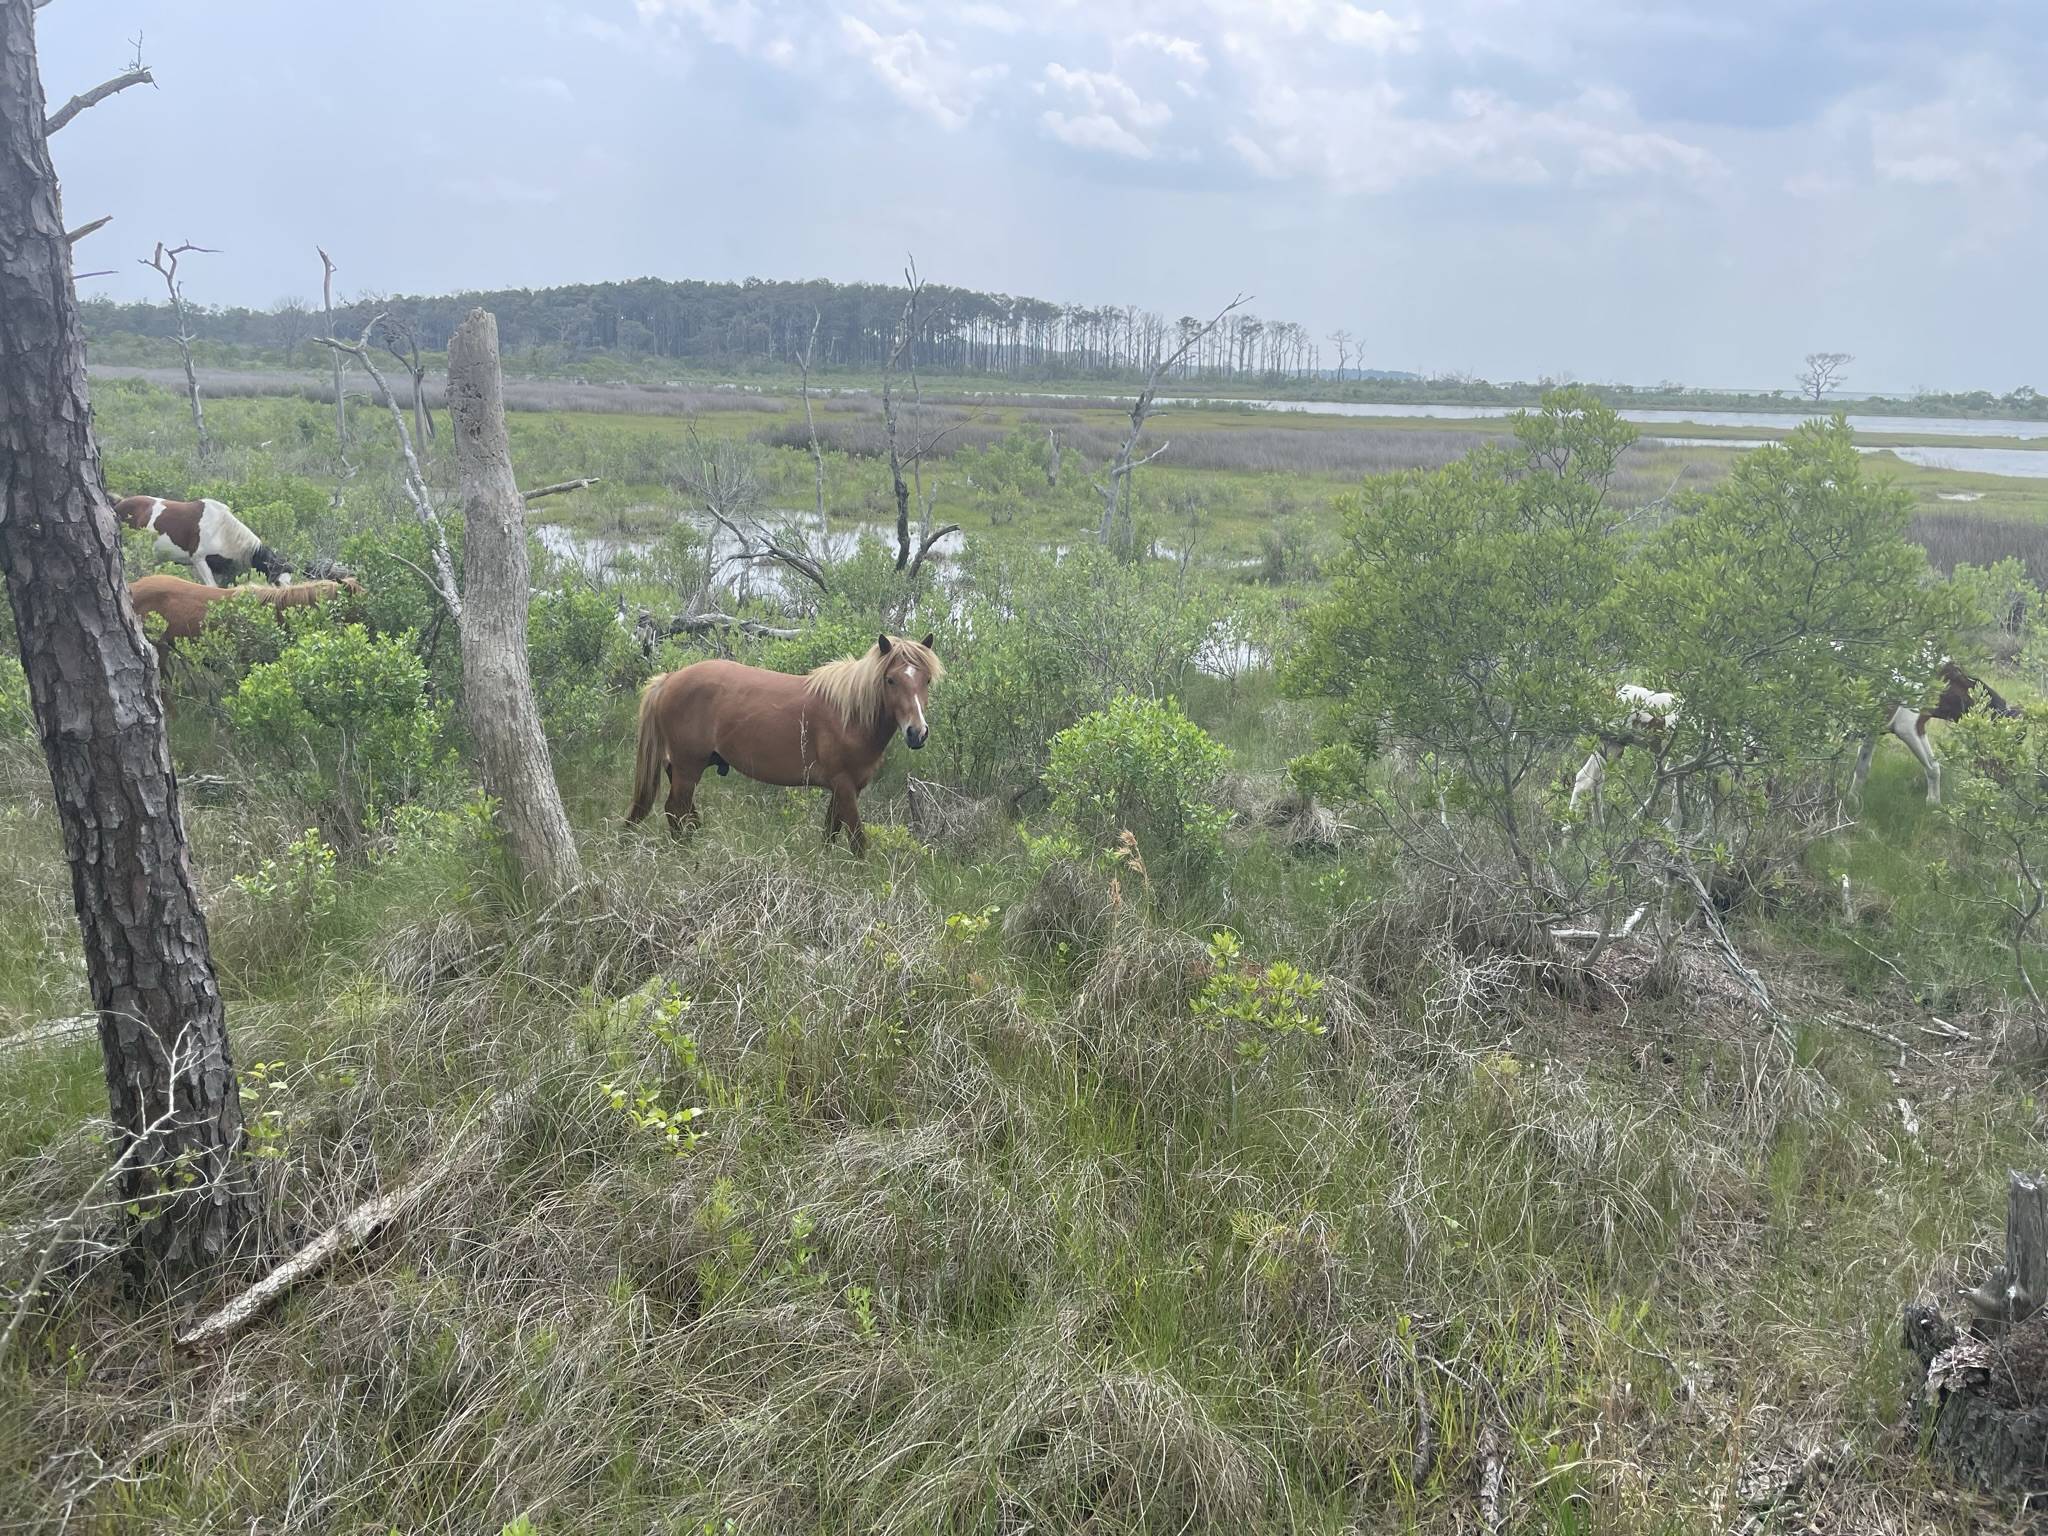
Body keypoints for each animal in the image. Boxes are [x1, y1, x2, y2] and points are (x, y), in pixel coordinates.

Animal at [627, 632, 942, 856]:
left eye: (926, 680)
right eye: (890, 680)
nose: (917, 732)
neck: (849, 714)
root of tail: (669, 680)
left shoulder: (844, 788)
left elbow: (830, 834)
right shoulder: (844, 785)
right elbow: (857, 842)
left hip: (682, 768)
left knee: (684, 813)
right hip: (687, 767)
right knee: (676, 810)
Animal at [1852, 660, 2019, 805]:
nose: (2006, 787)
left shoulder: (1893, 729)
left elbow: (1862, 768)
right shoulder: (1907, 728)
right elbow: (1932, 768)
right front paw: (1935, 804)